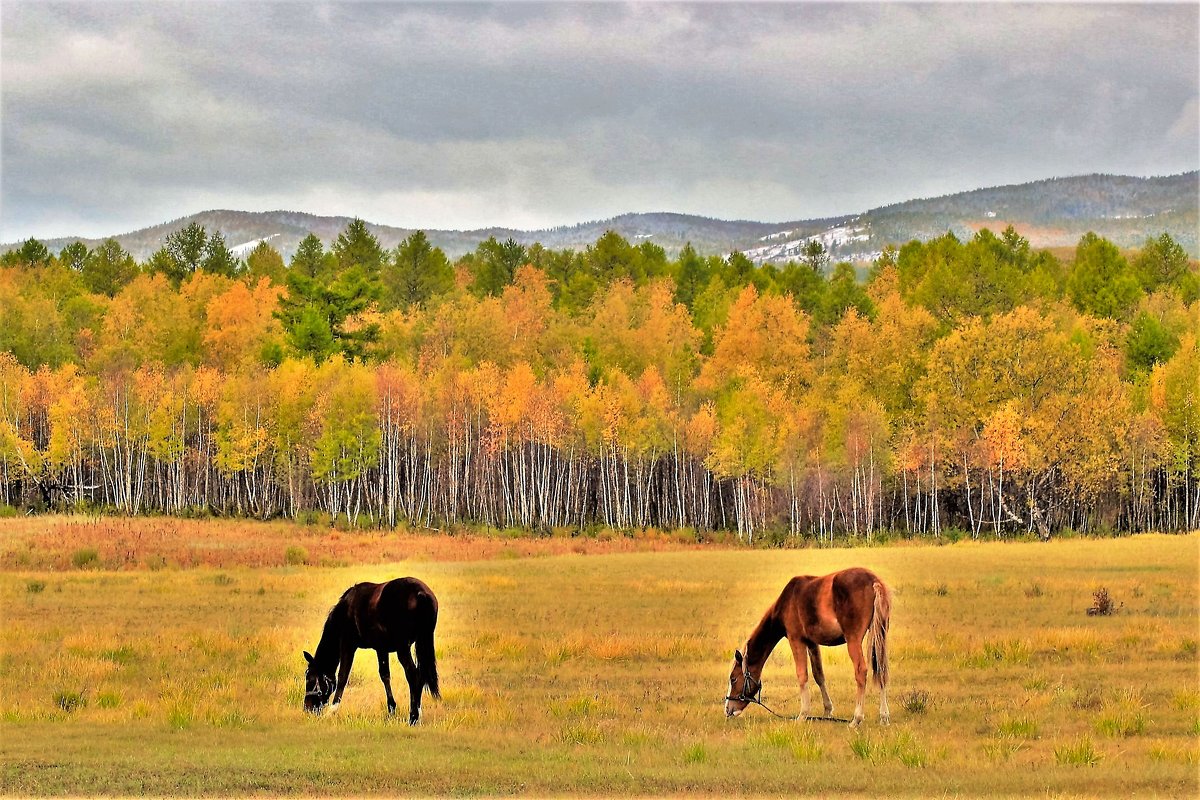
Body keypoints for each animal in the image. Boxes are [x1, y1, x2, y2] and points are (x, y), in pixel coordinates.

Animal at [304, 575, 441, 724]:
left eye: (309, 678)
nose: (307, 708)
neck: (345, 610)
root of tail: (420, 593)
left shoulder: (347, 644)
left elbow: (342, 677)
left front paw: (332, 711)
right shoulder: (381, 649)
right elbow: (385, 675)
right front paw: (391, 709)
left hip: (403, 649)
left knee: (414, 675)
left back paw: (413, 717)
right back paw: (417, 714)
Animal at [720, 566, 892, 729]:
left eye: (733, 679)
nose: (728, 710)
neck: (787, 601)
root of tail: (874, 581)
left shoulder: (796, 640)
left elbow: (802, 675)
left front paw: (803, 714)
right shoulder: (812, 643)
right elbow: (819, 675)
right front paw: (827, 711)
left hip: (853, 640)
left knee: (861, 671)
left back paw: (856, 718)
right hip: (880, 635)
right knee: (881, 670)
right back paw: (884, 716)